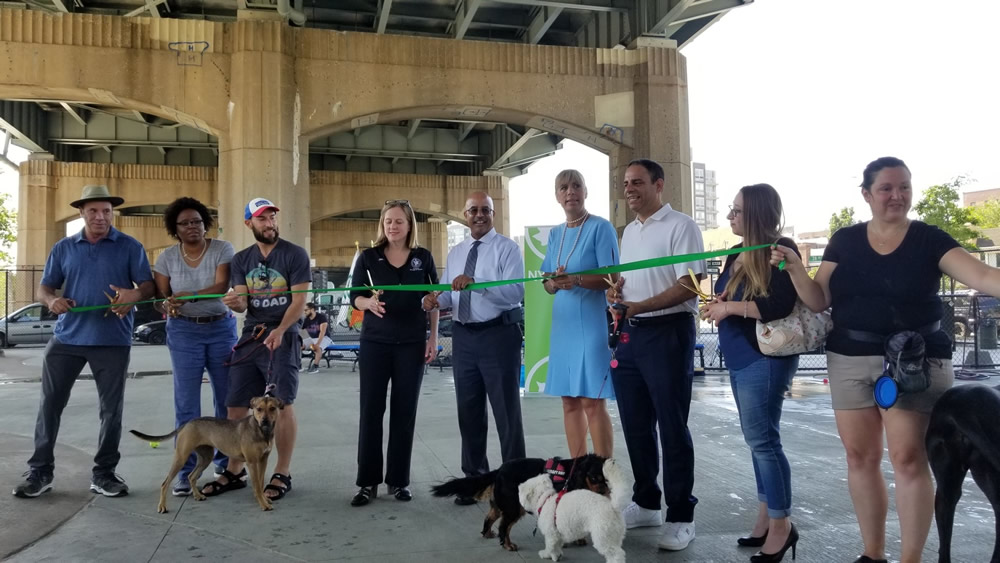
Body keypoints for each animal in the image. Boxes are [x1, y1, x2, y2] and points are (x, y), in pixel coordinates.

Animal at [129, 396, 284, 516]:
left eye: (272, 408)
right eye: (258, 409)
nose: (264, 420)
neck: (261, 431)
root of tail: (187, 424)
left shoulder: (263, 460)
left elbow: (261, 482)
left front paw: (265, 499)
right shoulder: (252, 462)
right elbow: (257, 485)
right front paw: (263, 503)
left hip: (206, 457)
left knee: (191, 476)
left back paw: (198, 495)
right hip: (181, 457)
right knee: (165, 483)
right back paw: (162, 506)